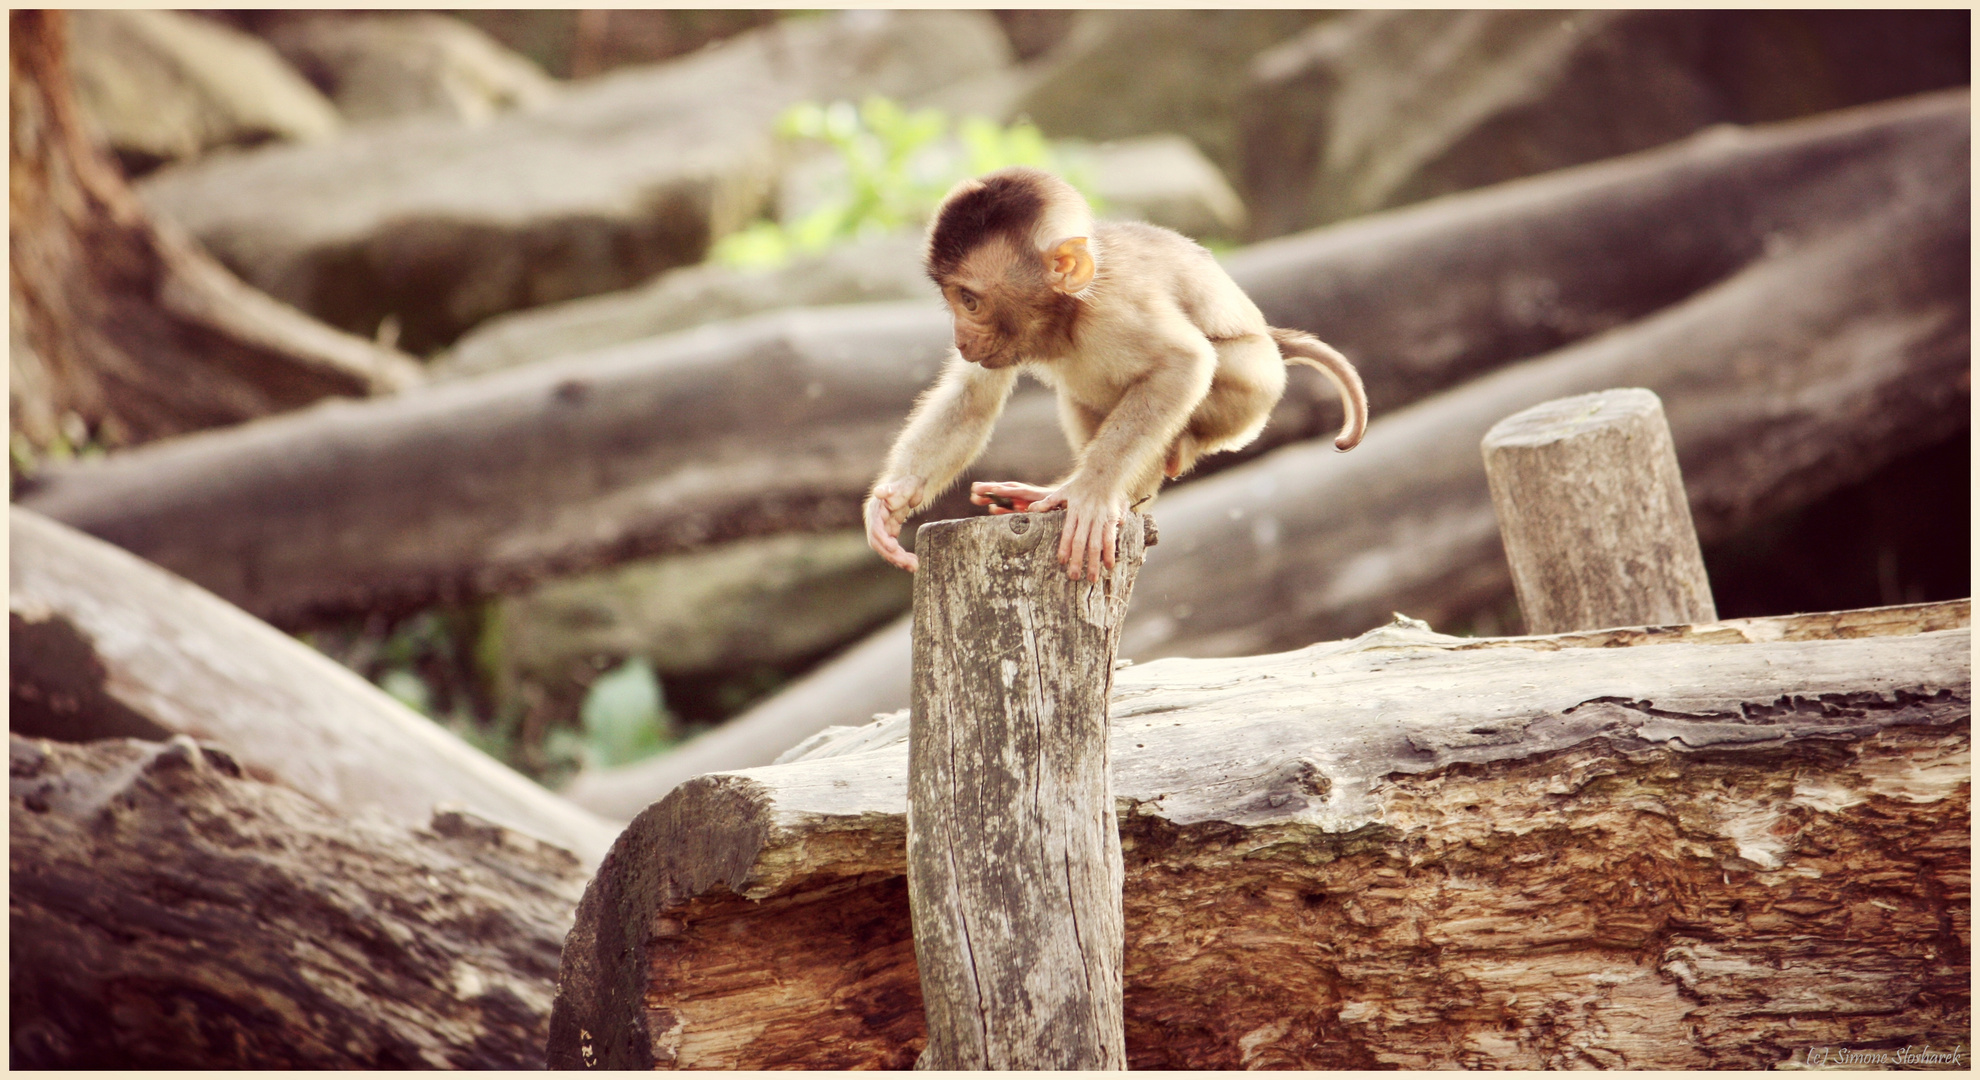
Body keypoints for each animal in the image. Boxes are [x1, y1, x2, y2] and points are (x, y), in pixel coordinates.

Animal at [859, 163, 1370, 578]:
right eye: (952, 299)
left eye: (969, 301)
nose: (961, 338)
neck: (1067, 314)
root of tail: (1270, 336)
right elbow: (971, 400)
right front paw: (892, 501)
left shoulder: (1117, 307)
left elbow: (1184, 362)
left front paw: (1089, 493)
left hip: (1255, 387)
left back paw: (1129, 486)